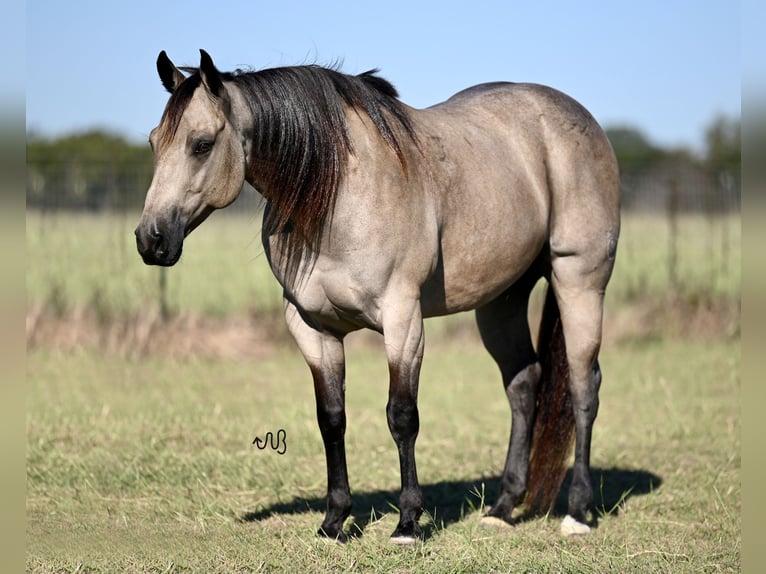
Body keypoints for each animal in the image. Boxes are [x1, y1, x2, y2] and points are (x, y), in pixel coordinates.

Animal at [135, 48, 620, 544]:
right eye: (155, 142)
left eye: (201, 144)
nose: (151, 240)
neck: (337, 196)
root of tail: (578, 118)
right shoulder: (313, 329)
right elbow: (331, 418)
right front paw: (334, 521)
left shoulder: (402, 320)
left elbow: (402, 416)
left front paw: (407, 522)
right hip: (501, 300)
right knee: (524, 384)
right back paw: (503, 507)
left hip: (579, 280)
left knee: (583, 387)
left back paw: (578, 512)